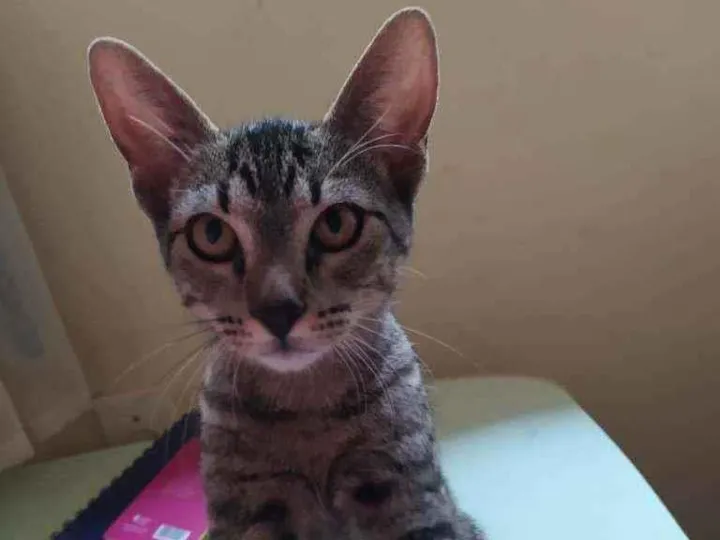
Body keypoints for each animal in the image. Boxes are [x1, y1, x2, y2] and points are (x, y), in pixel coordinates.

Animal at [88, 7, 483, 540]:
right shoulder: (246, 507)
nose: (278, 310)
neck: (306, 410)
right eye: (211, 234)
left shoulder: (409, 493)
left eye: (337, 224)